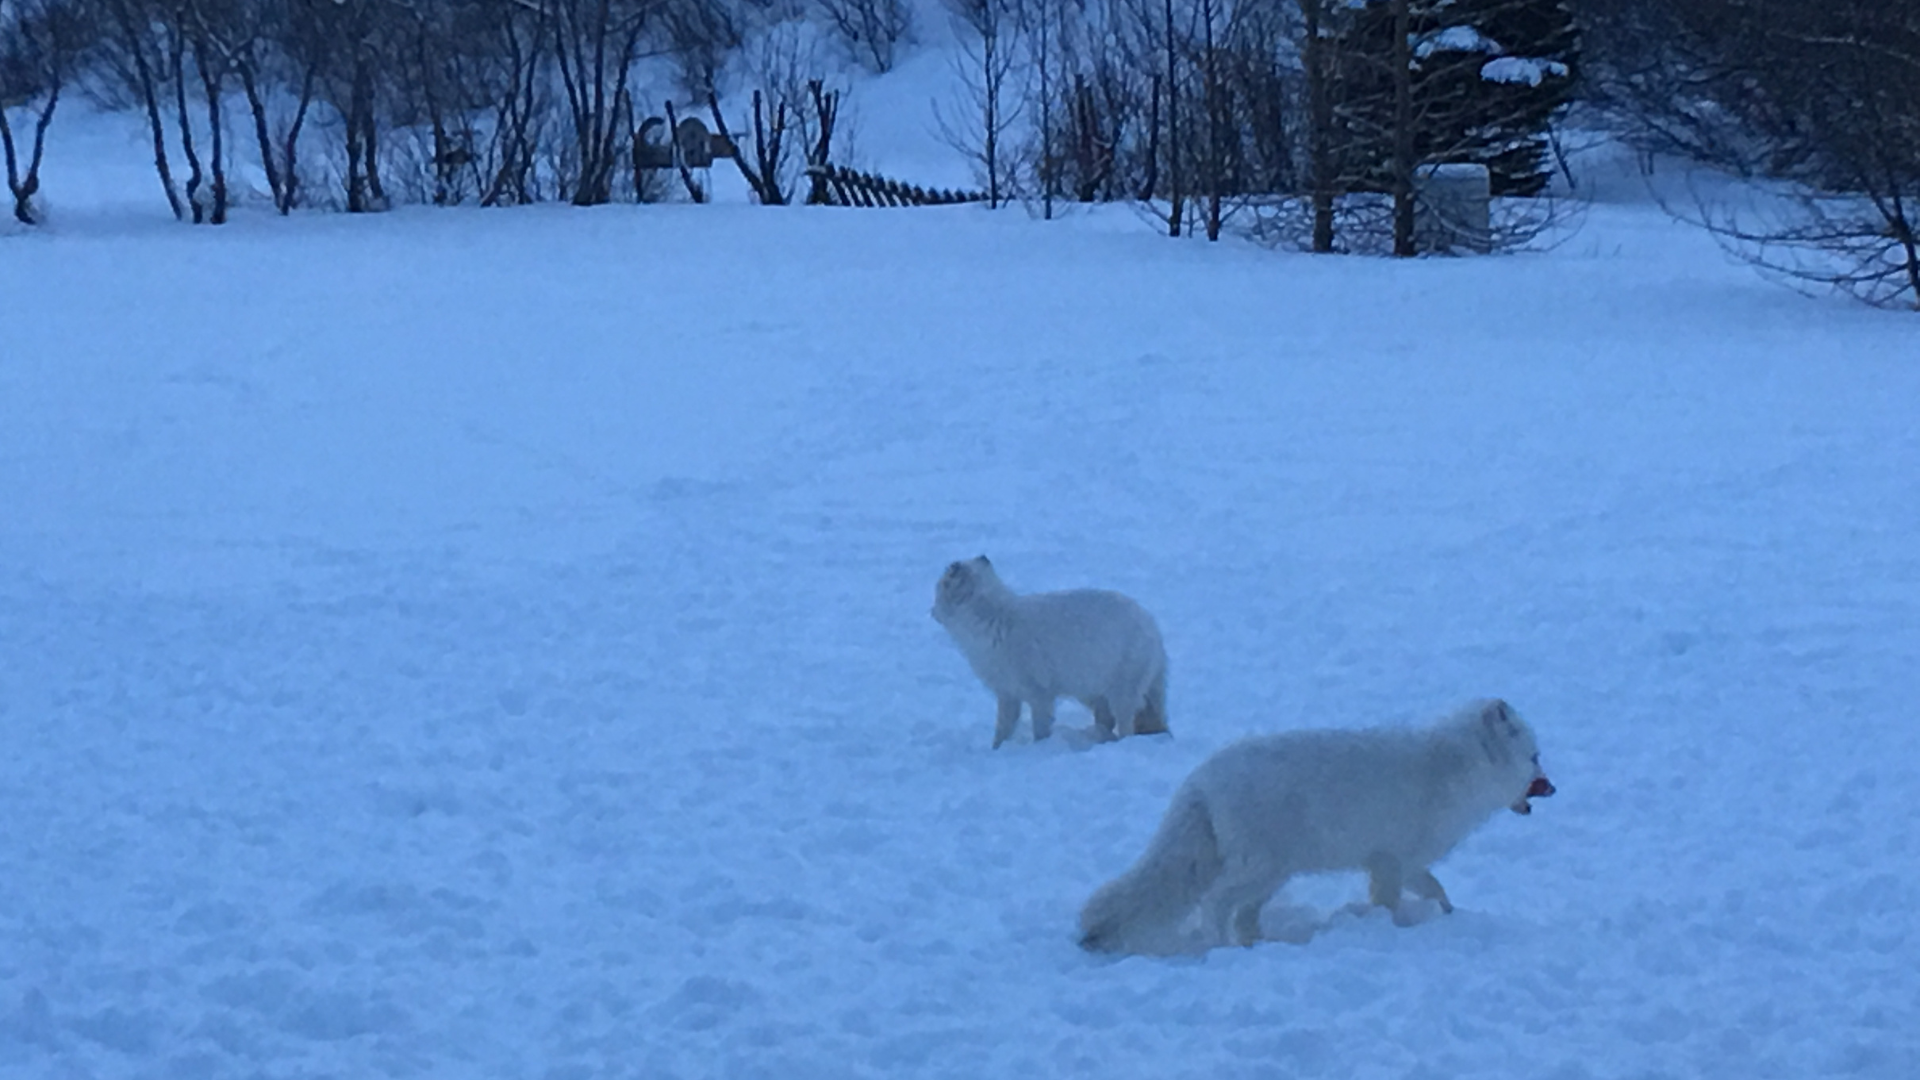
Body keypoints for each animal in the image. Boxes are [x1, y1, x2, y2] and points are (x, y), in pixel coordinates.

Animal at [931, 556, 1169, 749]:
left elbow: (1040, 729)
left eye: (938, 588)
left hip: (1122, 691)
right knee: (1107, 721)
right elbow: (1002, 730)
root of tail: (1154, 630)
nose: (932, 613)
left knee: (1126, 724)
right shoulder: (1008, 693)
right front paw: (995, 751)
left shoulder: (1039, 694)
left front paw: (1040, 749)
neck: (993, 618)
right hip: (1092, 691)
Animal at [1078, 697, 1555, 954]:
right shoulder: (1389, 861)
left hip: (1272, 873)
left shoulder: (1405, 861)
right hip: (1260, 868)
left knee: (1245, 914)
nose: (1553, 787)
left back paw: (1260, 945)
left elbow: (1437, 889)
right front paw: (1392, 928)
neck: (1454, 768)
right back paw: (1226, 947)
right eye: (1534, 757)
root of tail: (1200, 780)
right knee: (1216, 903)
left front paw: (1449, 916)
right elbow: (1389, 901)